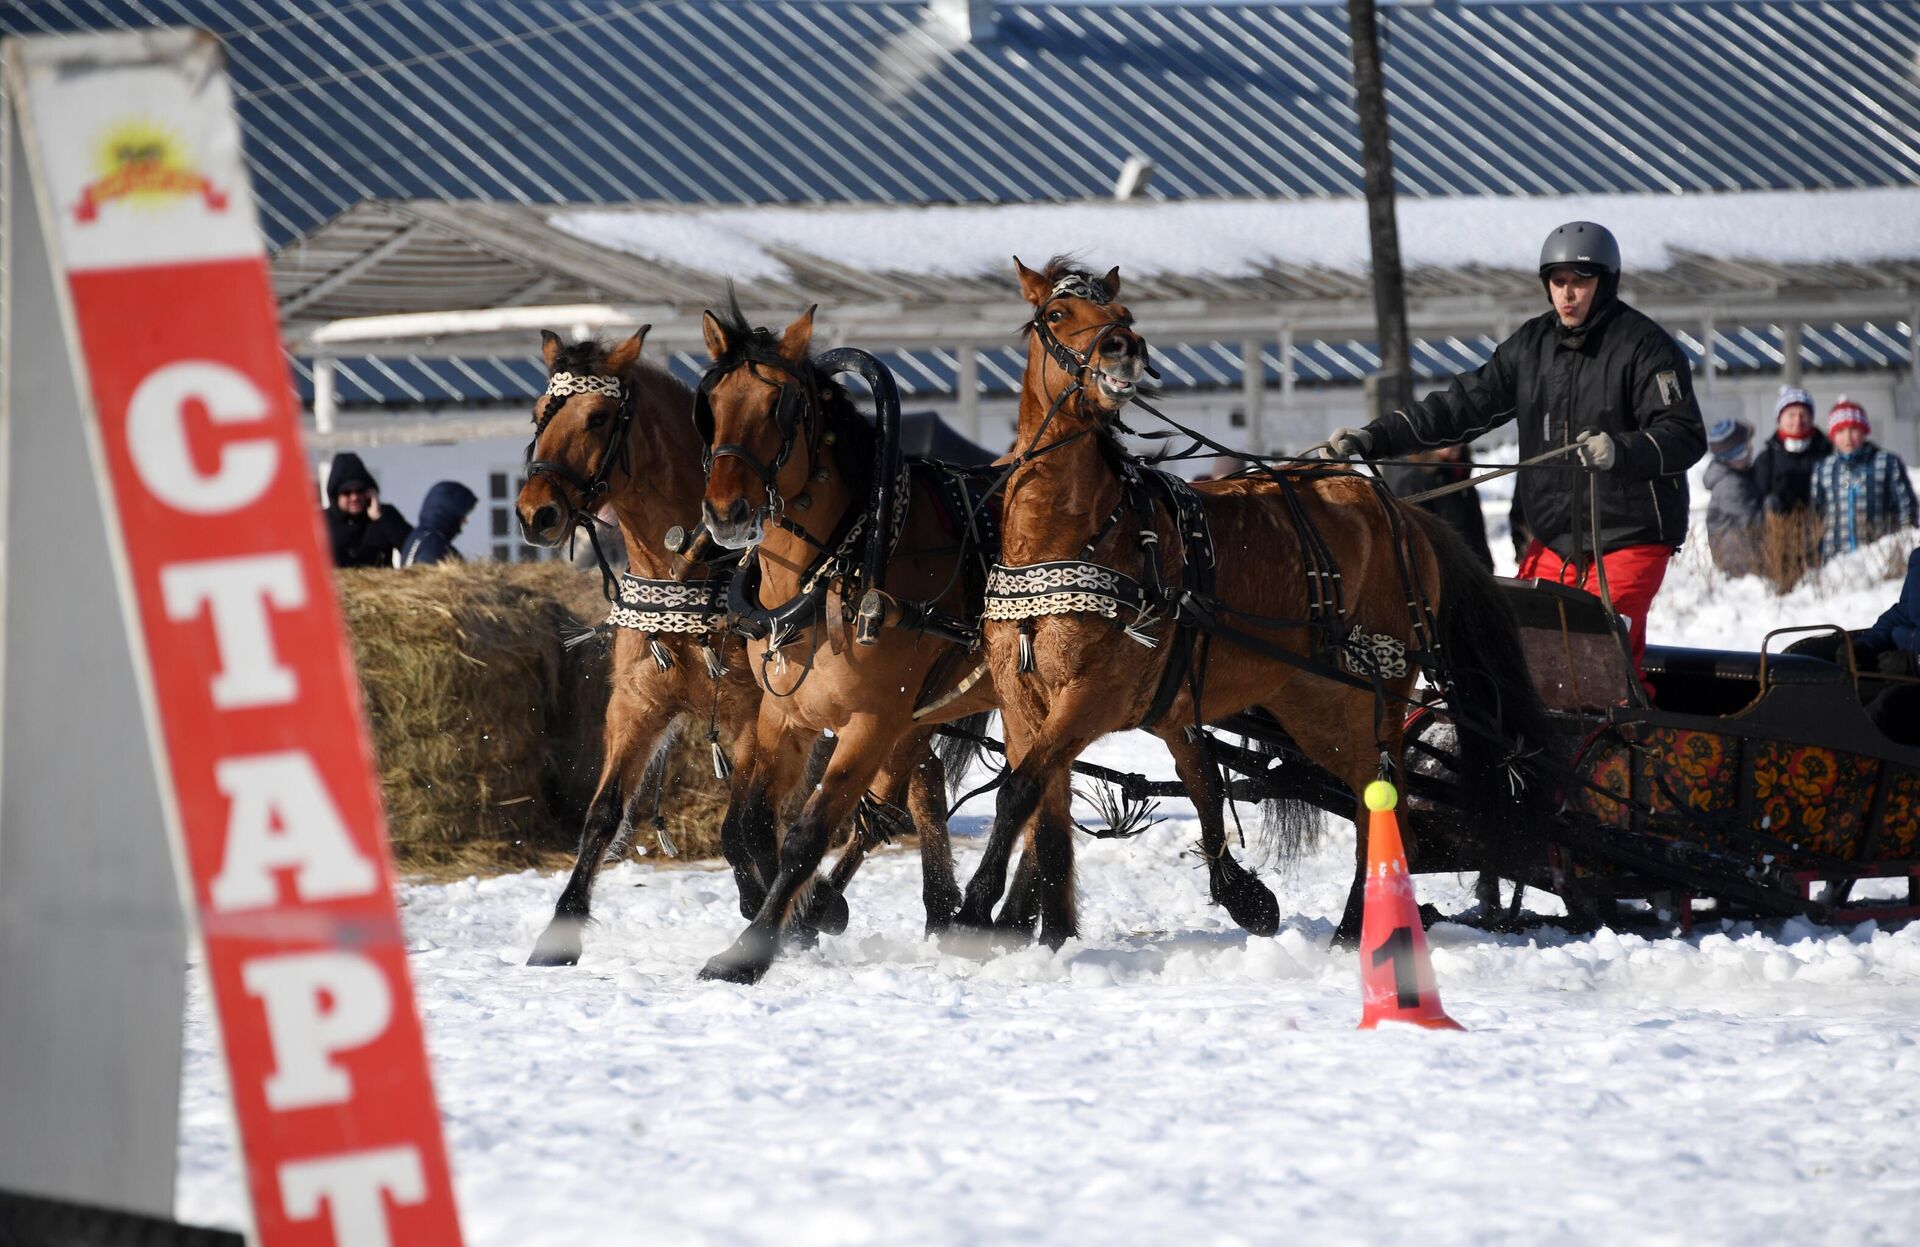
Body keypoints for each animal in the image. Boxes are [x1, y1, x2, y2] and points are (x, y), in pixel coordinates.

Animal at [518, 328, 960, 964]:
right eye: (538, 415)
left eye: (599, 417)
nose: (536, 513)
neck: (694, 567)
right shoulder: (637, 704)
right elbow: (603, 814)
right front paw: (560, 932)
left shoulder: (759, 712)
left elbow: (742, 827)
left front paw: (786, 912)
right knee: (912, 783)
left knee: (912, 786)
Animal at [960, 259, 1543, 945]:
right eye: (1055, 314)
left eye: (1124, 316)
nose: (1122, 347)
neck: (1067, 535)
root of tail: (1400, 511)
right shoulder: (1023, 703)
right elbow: (1044, 816)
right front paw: (1050, 933)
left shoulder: (1092, 695)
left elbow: (1018, 792)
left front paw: (971, 910)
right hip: (1313, 702)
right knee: (1366, 792)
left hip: (1376, 688)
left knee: (1385, 797)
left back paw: (1361, 926)